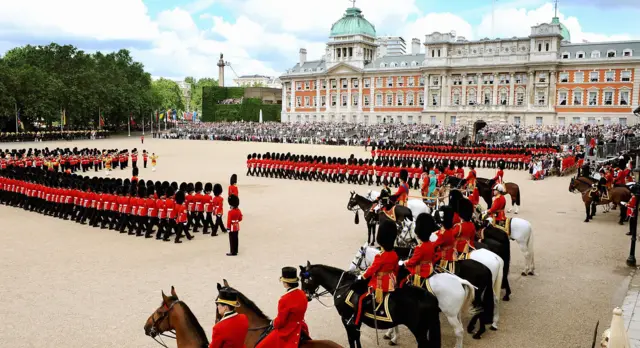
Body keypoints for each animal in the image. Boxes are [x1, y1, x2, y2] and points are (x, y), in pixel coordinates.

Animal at [298, 260, 440, 348]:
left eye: (303, 280)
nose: (306, 296)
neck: (343, 286)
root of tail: (430, 297)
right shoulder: (356, 321)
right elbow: (357, 337)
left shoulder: (346, 319)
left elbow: (351, 338)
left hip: (419, 331)